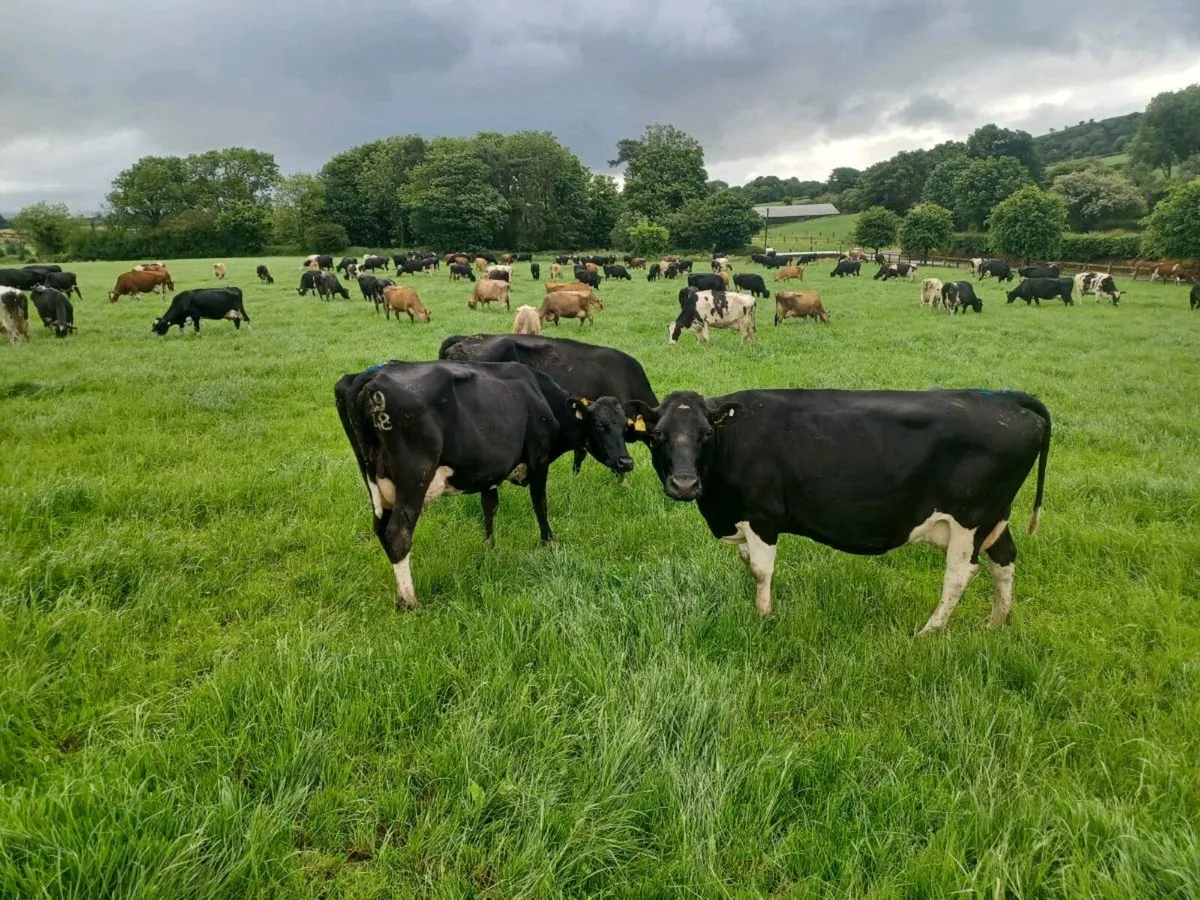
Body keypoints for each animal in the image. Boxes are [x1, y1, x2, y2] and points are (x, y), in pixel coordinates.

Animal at [333, 360, 635, 607]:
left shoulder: (490, 474)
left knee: (380, 529)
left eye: (625, 426)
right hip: (414, 478)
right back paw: (410, 600)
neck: (541, 397)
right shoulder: (539, 461)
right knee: (398, 533)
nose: (626, 462)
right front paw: (549, 542)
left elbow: (490, 509)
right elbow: (541, 505)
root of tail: (371, 377)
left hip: (375, 484)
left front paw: (489, 548)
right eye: (598, 424)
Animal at [622, 387, 1051, 634]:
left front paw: (764, 617)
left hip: (969, 519)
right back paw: (996, 623)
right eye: (656, 436)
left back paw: (928, 632)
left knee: (960, 575)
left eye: (707, 433)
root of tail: (1004, 398)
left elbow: (761, 569)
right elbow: (748, 565)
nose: (684, 484)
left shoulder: (762, 517)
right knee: (1004, 560)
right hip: (996, 517)